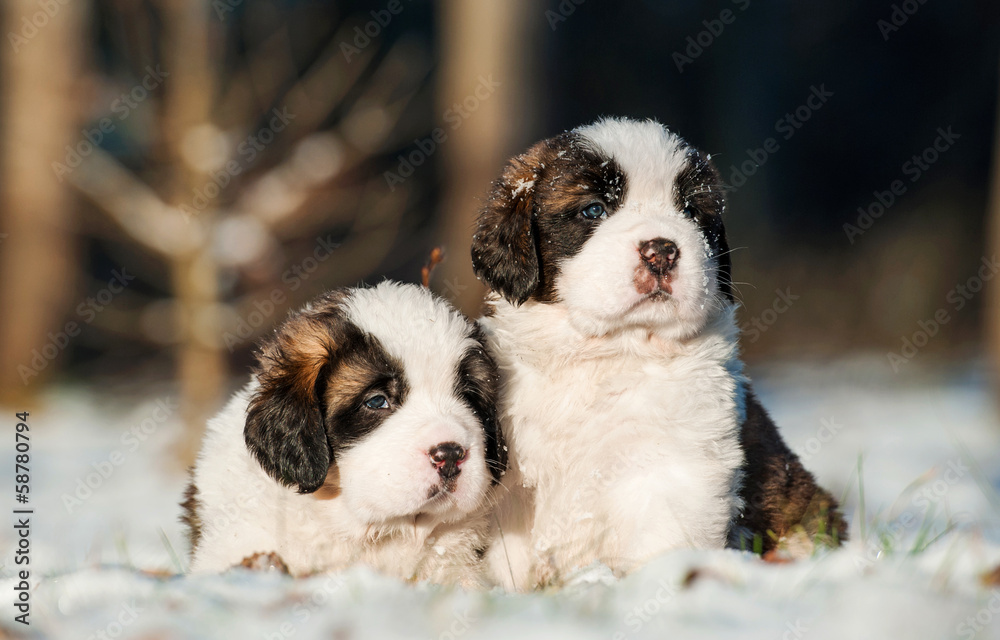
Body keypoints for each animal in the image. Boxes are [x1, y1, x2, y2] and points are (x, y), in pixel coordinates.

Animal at [472, 116, 848, 592]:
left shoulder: (676, 463)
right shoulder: (511, 484)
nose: (663, 250)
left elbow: (663, 537)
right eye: (593, 210)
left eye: (690, 210)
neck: (609, 352)